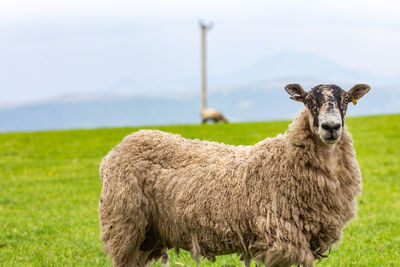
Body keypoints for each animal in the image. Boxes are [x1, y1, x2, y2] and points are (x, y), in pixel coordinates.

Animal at [98, 84, 370, 267]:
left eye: (346, 99)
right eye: (308, 100)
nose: (331, 127)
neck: (284, 158)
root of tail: (122, 144)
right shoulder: (279, 241)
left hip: (148, 235)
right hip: (124, 226)